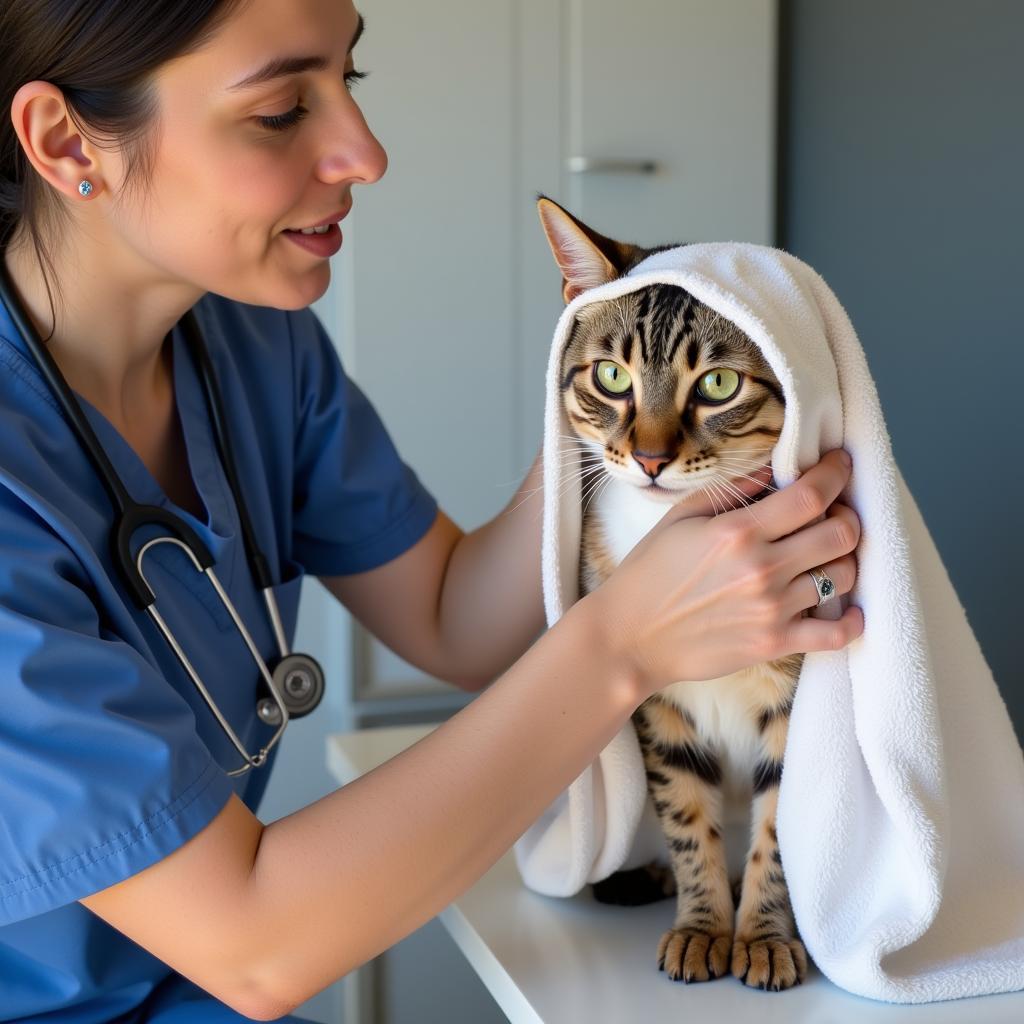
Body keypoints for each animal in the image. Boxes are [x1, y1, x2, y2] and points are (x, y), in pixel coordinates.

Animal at [536, 193, 806, 991]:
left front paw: (764, 934)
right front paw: (702, 926)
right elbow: (687, 819)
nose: (651, 458)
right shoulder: (659, 708)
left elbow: (781, 831)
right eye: (610, 377)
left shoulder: (797, 704)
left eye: (718, 385)